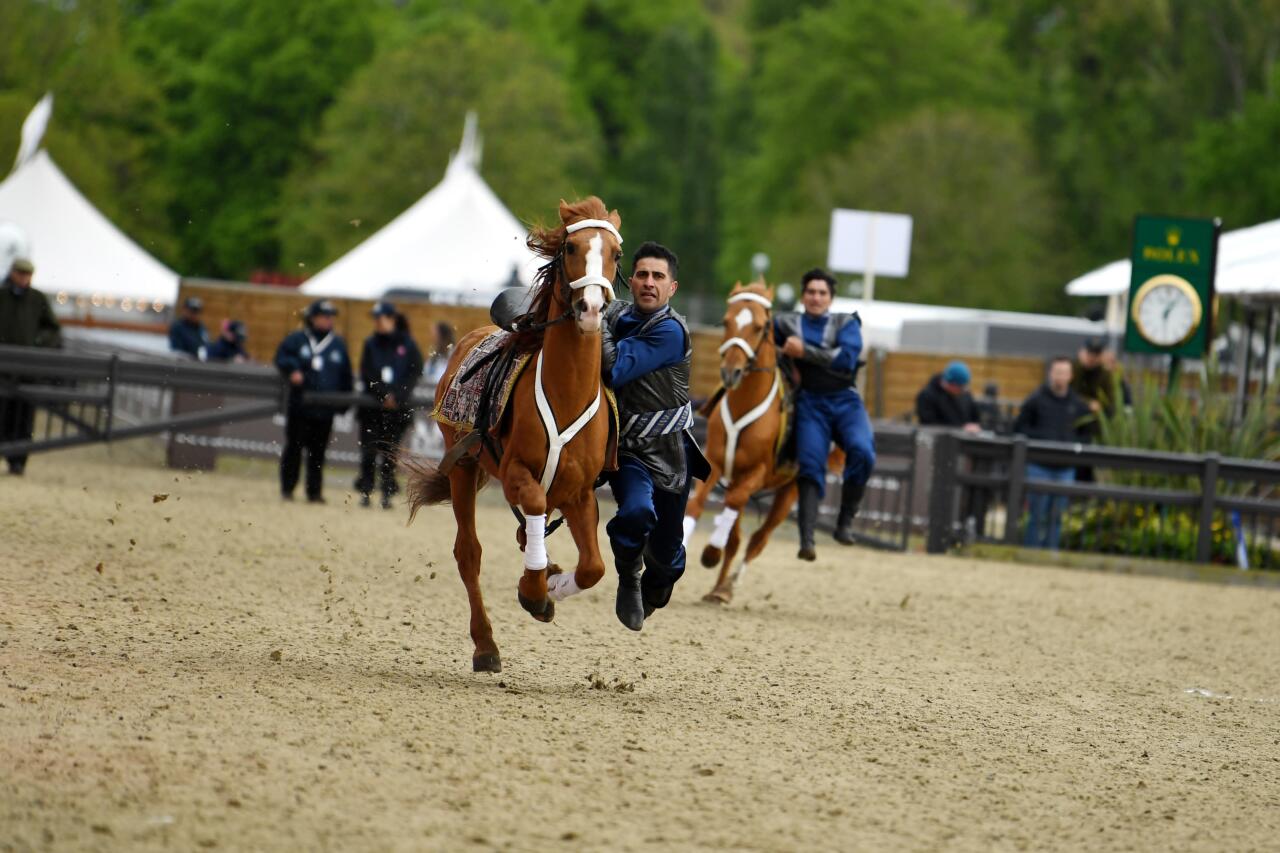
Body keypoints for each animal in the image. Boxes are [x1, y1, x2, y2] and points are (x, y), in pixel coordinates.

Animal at [407, 195, 622, 666]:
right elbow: (535, 504)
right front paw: (535, 590)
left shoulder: (581, 493)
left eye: (616, 254)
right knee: (468, 552)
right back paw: (486, 644)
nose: (591, 309)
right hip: (463, 465)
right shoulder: (515, 473)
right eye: (570, 248)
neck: (566, 392)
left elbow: (593, 567)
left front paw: (551, 584)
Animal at [680, 281, 798, 601]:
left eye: (759, 327)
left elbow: (732, 507)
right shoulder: (715, 462)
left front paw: (711, 551)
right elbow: (695, 504)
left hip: (790, 490)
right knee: (737, 538)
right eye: (726, 321)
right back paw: (718, 588)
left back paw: (729, 584)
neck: (745, 405)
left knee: (758, 539)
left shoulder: (756, 473)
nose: (730, 371)